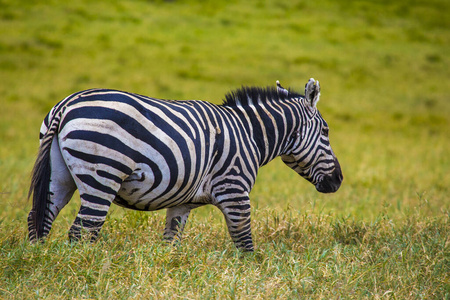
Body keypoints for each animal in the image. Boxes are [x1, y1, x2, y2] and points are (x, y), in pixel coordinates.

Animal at [28, 78, 342, 251]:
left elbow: (171, 242)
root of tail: (67, 104)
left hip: (59, 176)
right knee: (83, 230)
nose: (338, 181)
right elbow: (245, 242)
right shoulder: (235, 190)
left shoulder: (181, 203)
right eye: (326, 131)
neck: (250, 134)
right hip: (102, 174)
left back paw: (39, 261)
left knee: (39, 218)